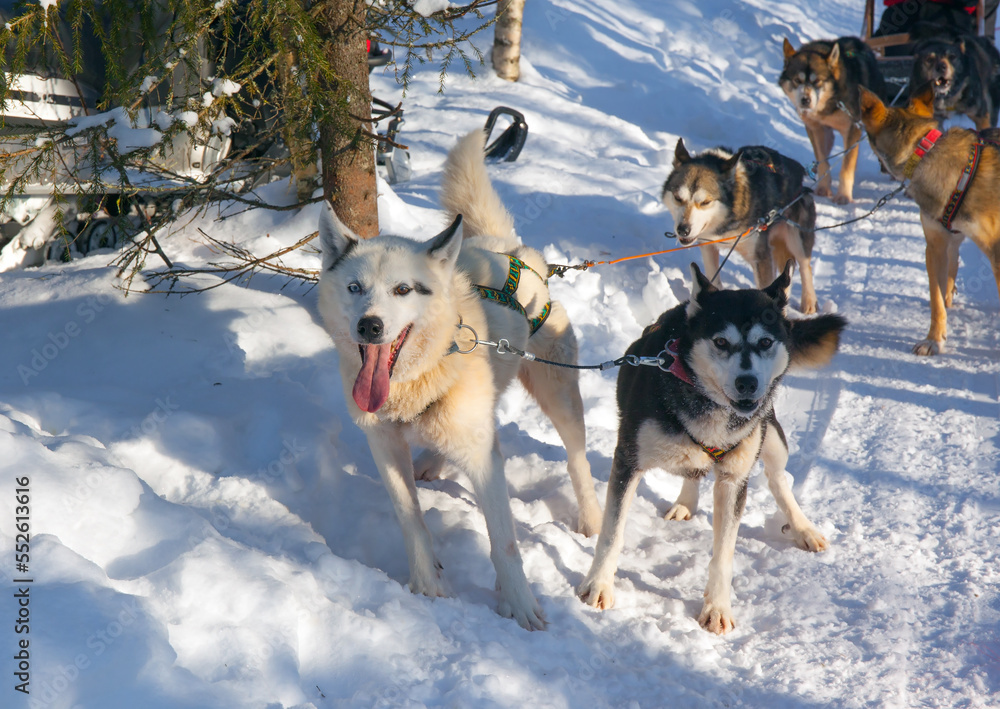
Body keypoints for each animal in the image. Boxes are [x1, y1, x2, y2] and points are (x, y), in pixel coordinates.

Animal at [317, 130, 603, 630]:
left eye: (403, 290)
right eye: (354, 288)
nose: (369, 326)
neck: (415, 382)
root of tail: (508, 249)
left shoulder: (486, 464)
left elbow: (504, 542)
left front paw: (521, 605)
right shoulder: (384, 444)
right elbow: (410, 517)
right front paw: (425, 583)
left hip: (558, 392)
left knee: (576, 459)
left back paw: (589, 516)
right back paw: (432, 460)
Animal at [577, 262, 846, 634]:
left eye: (765, 342)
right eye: (721, 341)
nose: (747, 383)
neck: (708, 407)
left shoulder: (733, 481)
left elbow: (723, 554)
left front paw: (717, 607)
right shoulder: (628, 462)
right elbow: (611, 533)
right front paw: (598, 585)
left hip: (771, 436)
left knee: (778, 479)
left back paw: (803, 527)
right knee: (695, 471)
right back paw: (685, 501)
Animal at [662, 139, 819, 314]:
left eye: (705, 202)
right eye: (677, 198)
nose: (683, 229)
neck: (727, 221)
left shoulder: (761, 257)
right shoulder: (708, 246)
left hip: (797, 238)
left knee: (805, 266)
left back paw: (809, 301)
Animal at [780, 36, 887, 204]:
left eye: (817, 81)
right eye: (797, 80)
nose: (805, 100)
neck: (831, 103)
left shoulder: (852, 129)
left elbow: (847, 166)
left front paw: (843, 196)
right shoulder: (816, 129)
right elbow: (823, 160)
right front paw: (823, 188)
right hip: (828, 135)